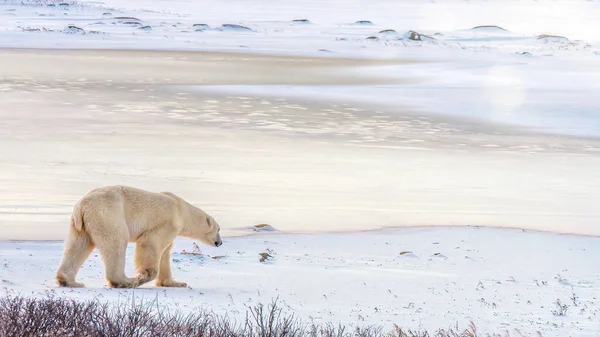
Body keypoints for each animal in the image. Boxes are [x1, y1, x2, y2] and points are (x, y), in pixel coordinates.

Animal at [54, 185, 221, 288]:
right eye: (218, 229)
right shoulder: (168, 223)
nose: (220, 242)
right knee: (116, 242)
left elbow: (165, 254)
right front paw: (143, 275)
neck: (181, 209)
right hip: (108, 215)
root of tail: (81, 206)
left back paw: (69, 281)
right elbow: (151, 244)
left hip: (80, 226)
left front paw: (176, 283)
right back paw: (125, 281)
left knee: (77, 246)